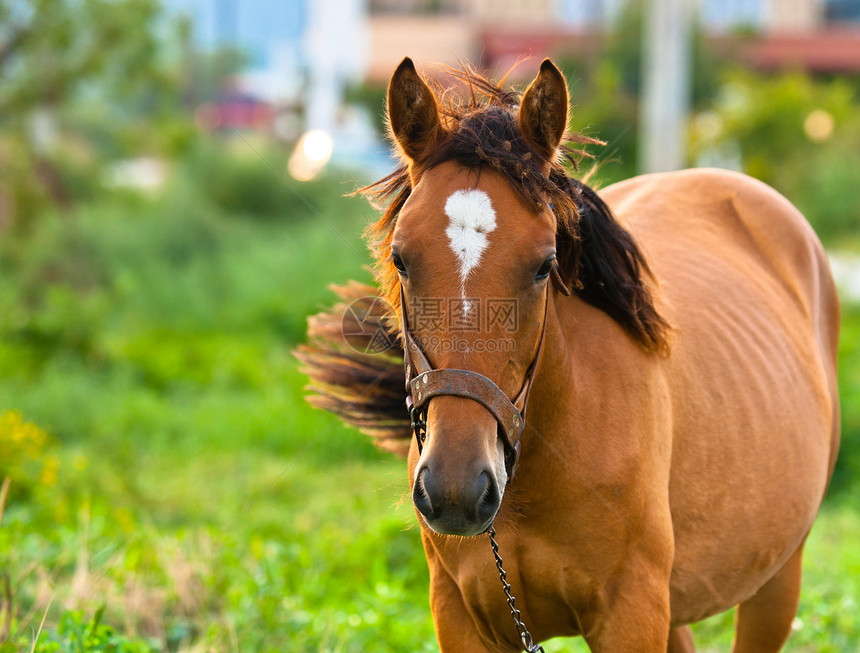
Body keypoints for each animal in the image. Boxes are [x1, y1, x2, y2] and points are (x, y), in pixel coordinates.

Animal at [296, 58, 840, 648]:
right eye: (400, 258)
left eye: (544, 264)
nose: (457, 489)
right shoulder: (460, 617)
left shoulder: (631, 615)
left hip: (777, 579)